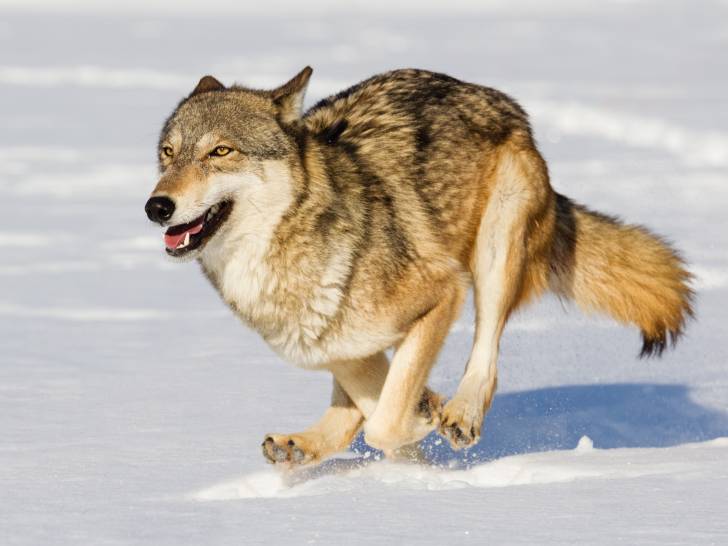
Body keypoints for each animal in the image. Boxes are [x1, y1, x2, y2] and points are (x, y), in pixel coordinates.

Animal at [145, 67, 693, 465]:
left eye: (220, 151)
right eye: (168, 154)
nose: (157, 207)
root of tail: (494, 97)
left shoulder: (441, 290)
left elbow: (385, 420)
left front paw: (425, 421)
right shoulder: (325, 337)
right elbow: (375, 399)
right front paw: (420, 420)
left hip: (495, 250)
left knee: (486, 353)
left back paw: (461, 413)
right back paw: (301, 444)